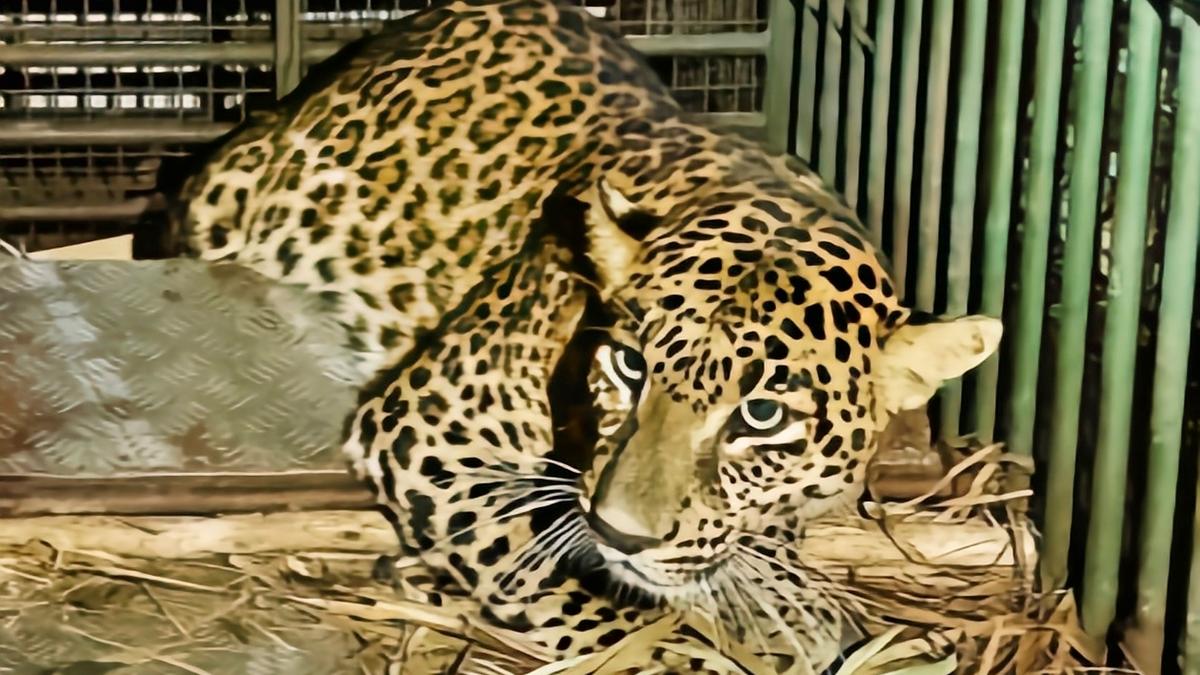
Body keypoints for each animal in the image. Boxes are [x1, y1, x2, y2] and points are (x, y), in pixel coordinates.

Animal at [169, 0, 1003, 670]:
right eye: (630, 366)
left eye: (761, 415)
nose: (621, 533)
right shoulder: (429, 423)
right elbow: (534, 566)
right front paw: (660, 648)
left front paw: (785, 597)